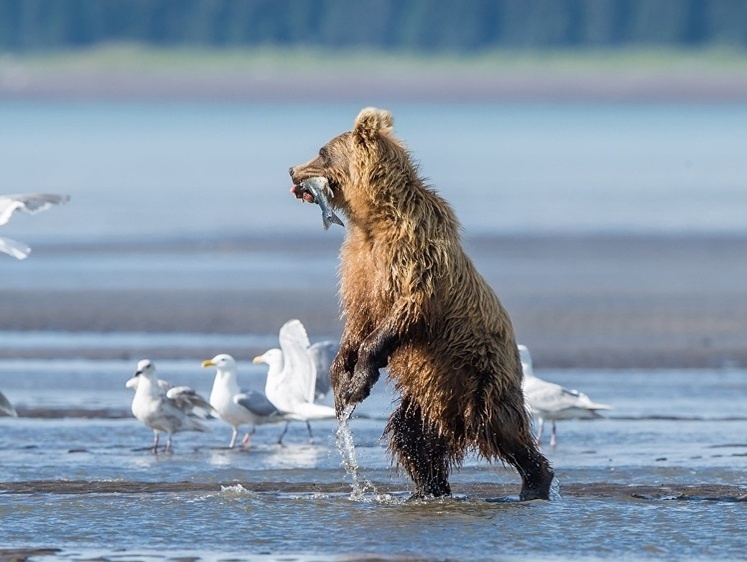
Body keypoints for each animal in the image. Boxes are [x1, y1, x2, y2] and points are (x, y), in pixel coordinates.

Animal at [290, 106, 552, 498]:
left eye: (322, 152)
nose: (292, 170)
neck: (373, 219)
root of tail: (453, 419)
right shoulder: (359, 266)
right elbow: (358, 319)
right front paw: (340, 377)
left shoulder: (414, 255)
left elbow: (405, 310)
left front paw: (358, 382)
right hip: (427, 394)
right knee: (411, 437)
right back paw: (429, 488)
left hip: (481, 375)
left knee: (501, 428)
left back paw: (535, 481)